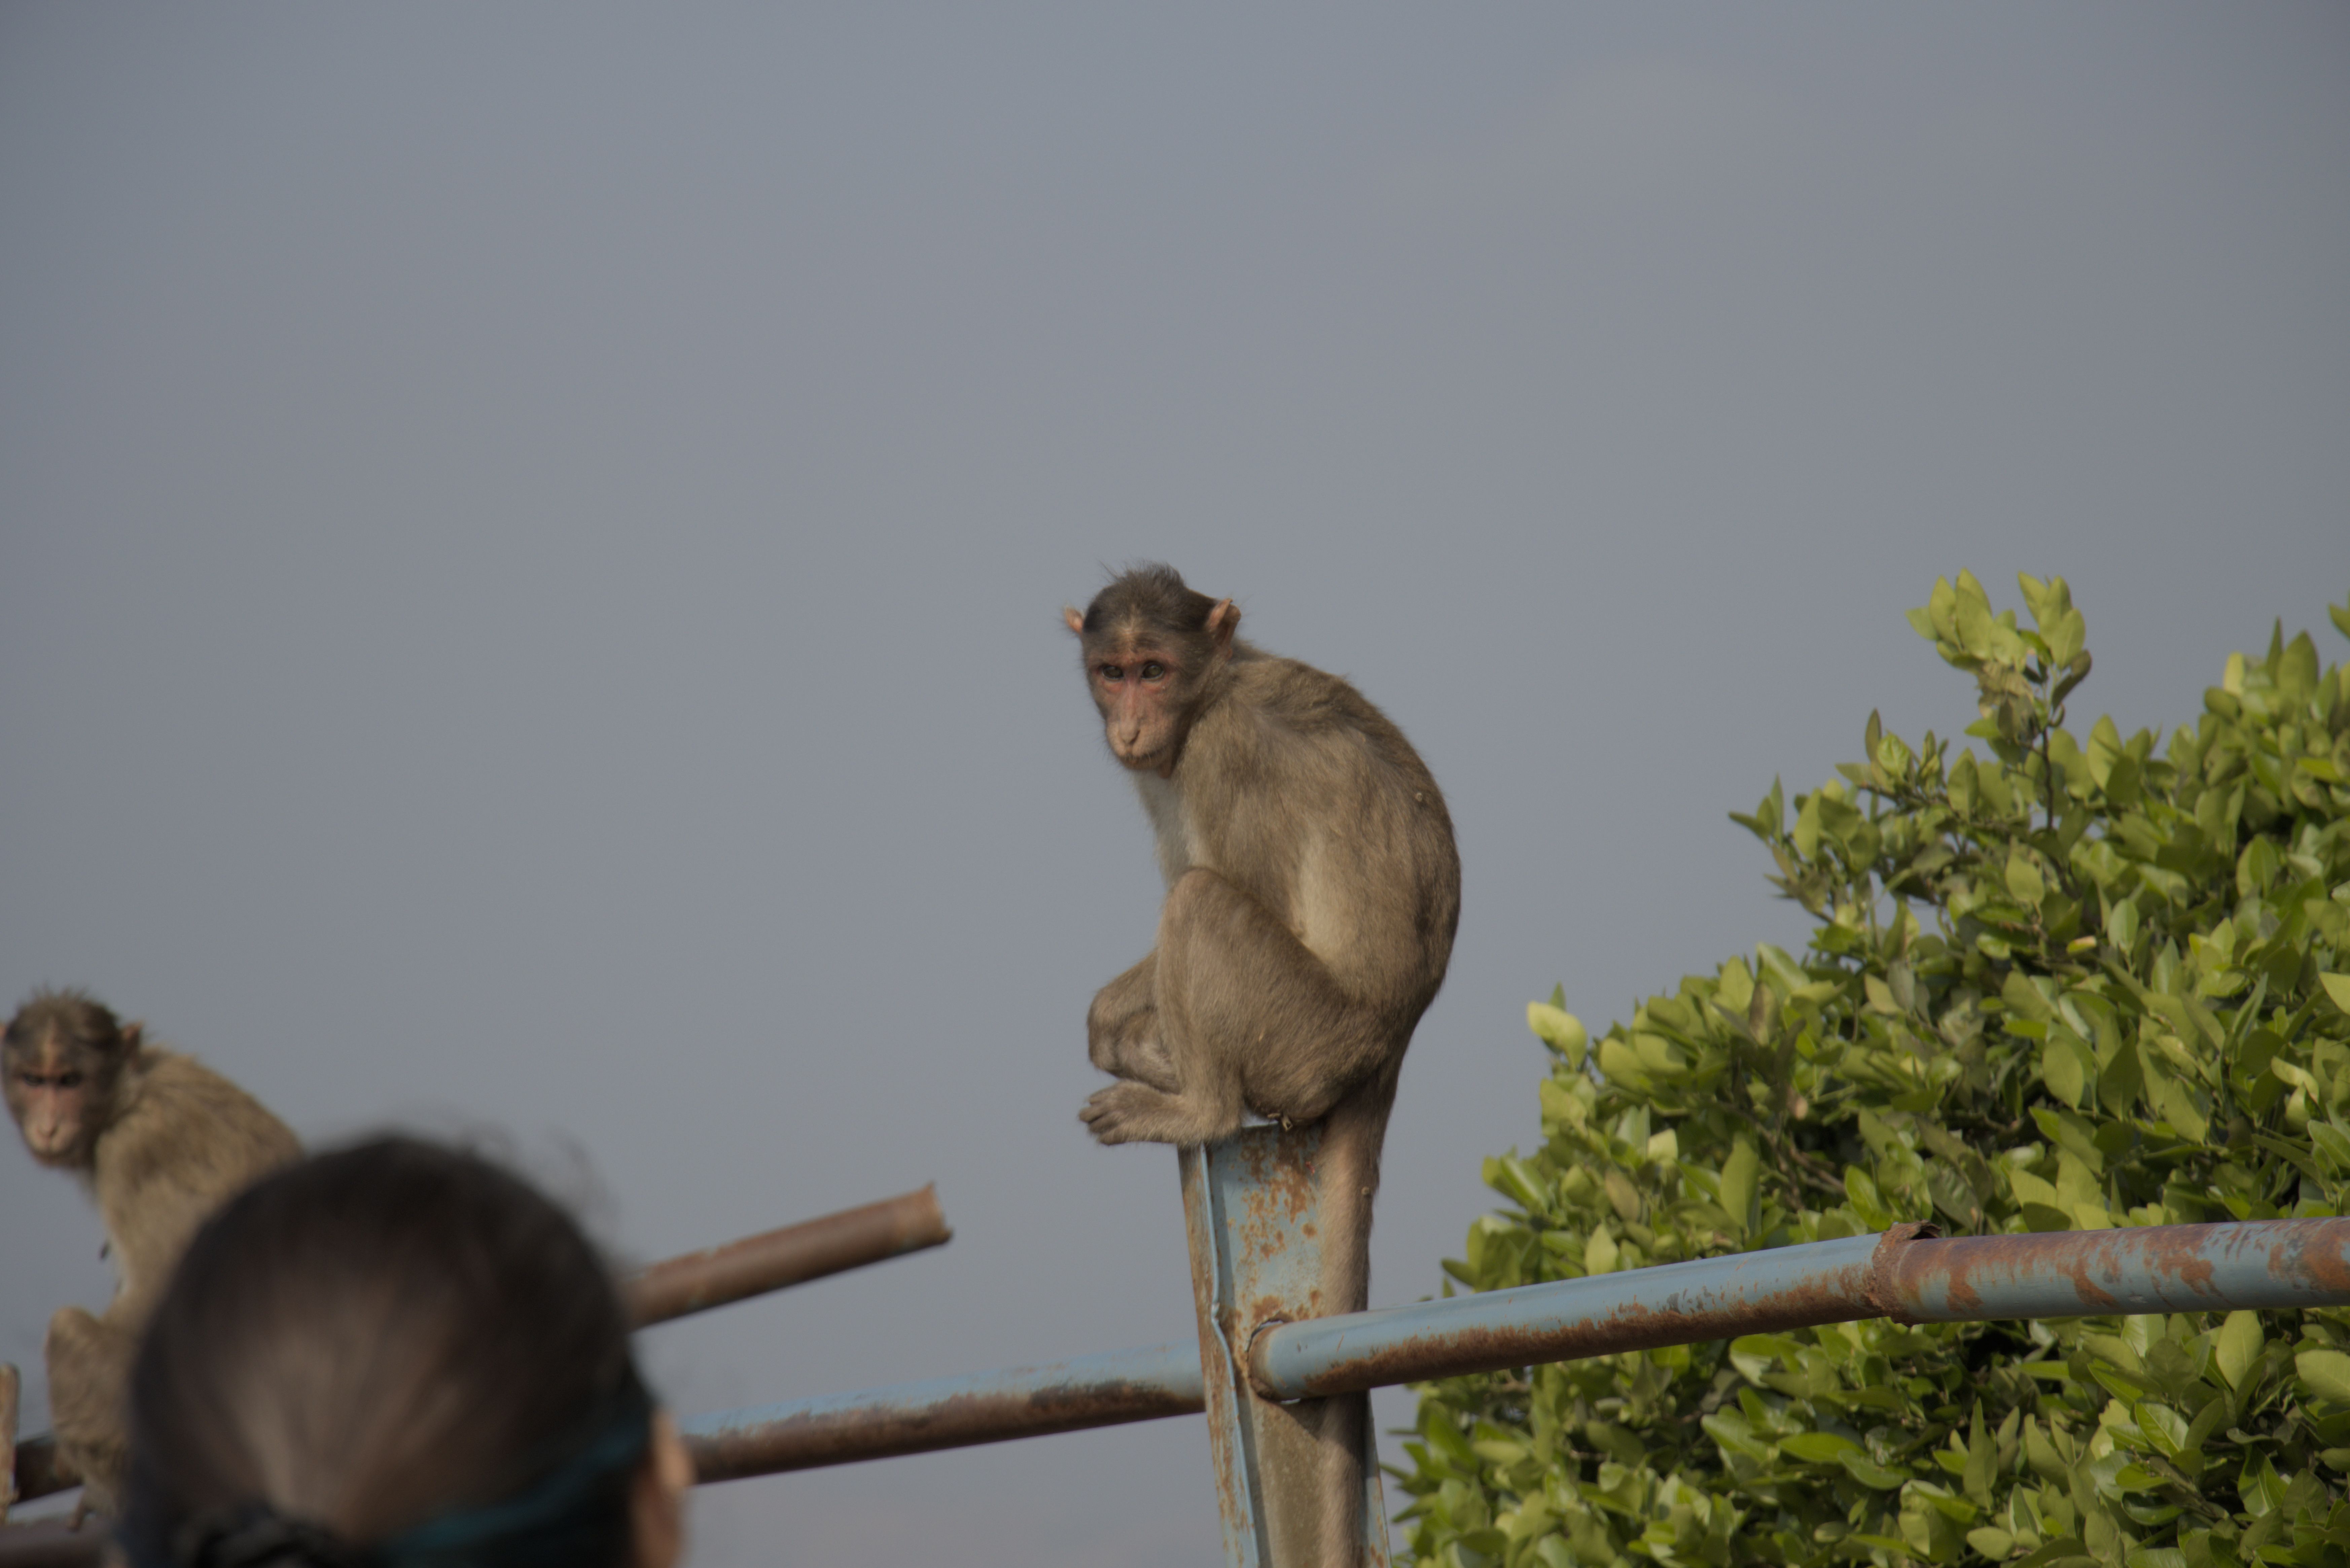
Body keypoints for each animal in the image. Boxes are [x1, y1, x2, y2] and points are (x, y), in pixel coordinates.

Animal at [2, 992, 300, 1523]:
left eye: (70, 1081)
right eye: (33, 1080)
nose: (48, 1125)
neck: (130, 1093)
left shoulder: (133, 1150)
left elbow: (154, 1294)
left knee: (68, 1331)